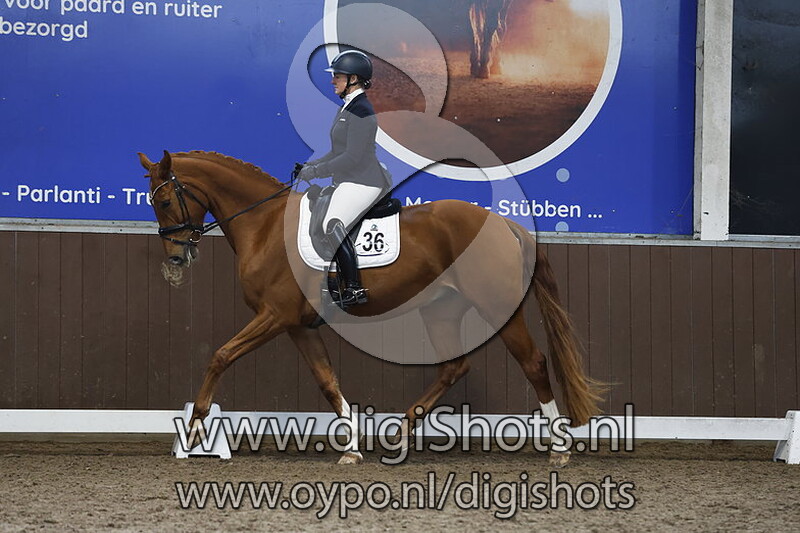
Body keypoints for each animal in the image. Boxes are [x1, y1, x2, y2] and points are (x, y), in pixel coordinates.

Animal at [137, 149, 603, 467]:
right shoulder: (299, 325)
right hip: (441, 310)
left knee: (534, 363)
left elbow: (220, 356)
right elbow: (327, 382)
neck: (265, 225)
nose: (176, 259)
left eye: (164, 202)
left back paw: (559, 449)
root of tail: (505, 223)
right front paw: (351, 447)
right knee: (454, 367)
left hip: (496, 306)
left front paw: (194, 430)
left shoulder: (274, 316)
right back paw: (397, 437)